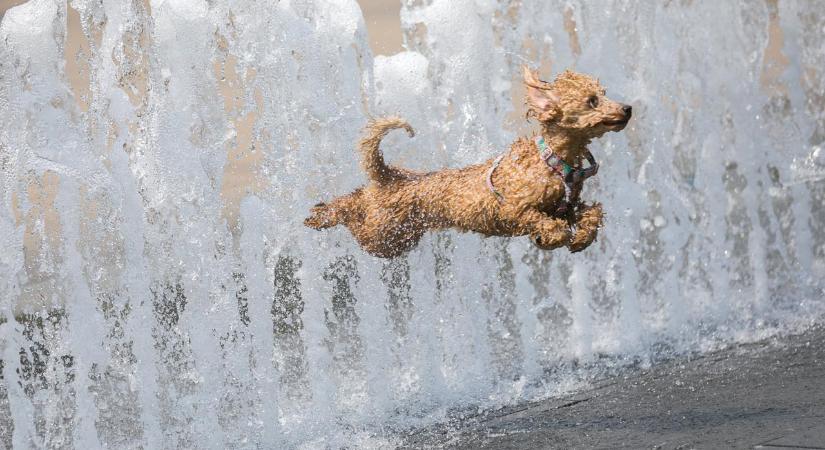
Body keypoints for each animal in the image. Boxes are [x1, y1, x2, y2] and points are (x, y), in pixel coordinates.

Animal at [304, 66, 632, 256]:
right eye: (592, 101)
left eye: (603, 94)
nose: (628, 108)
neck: (552, 161)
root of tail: (390, 176)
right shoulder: (513, 209)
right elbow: (540, 220)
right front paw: (553, 236)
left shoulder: (566, 207)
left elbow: (591, 213)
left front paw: (582, 238)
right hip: (382, 236)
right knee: (350, 210)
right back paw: (321, 215)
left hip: (394, 234)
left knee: (358, 196)